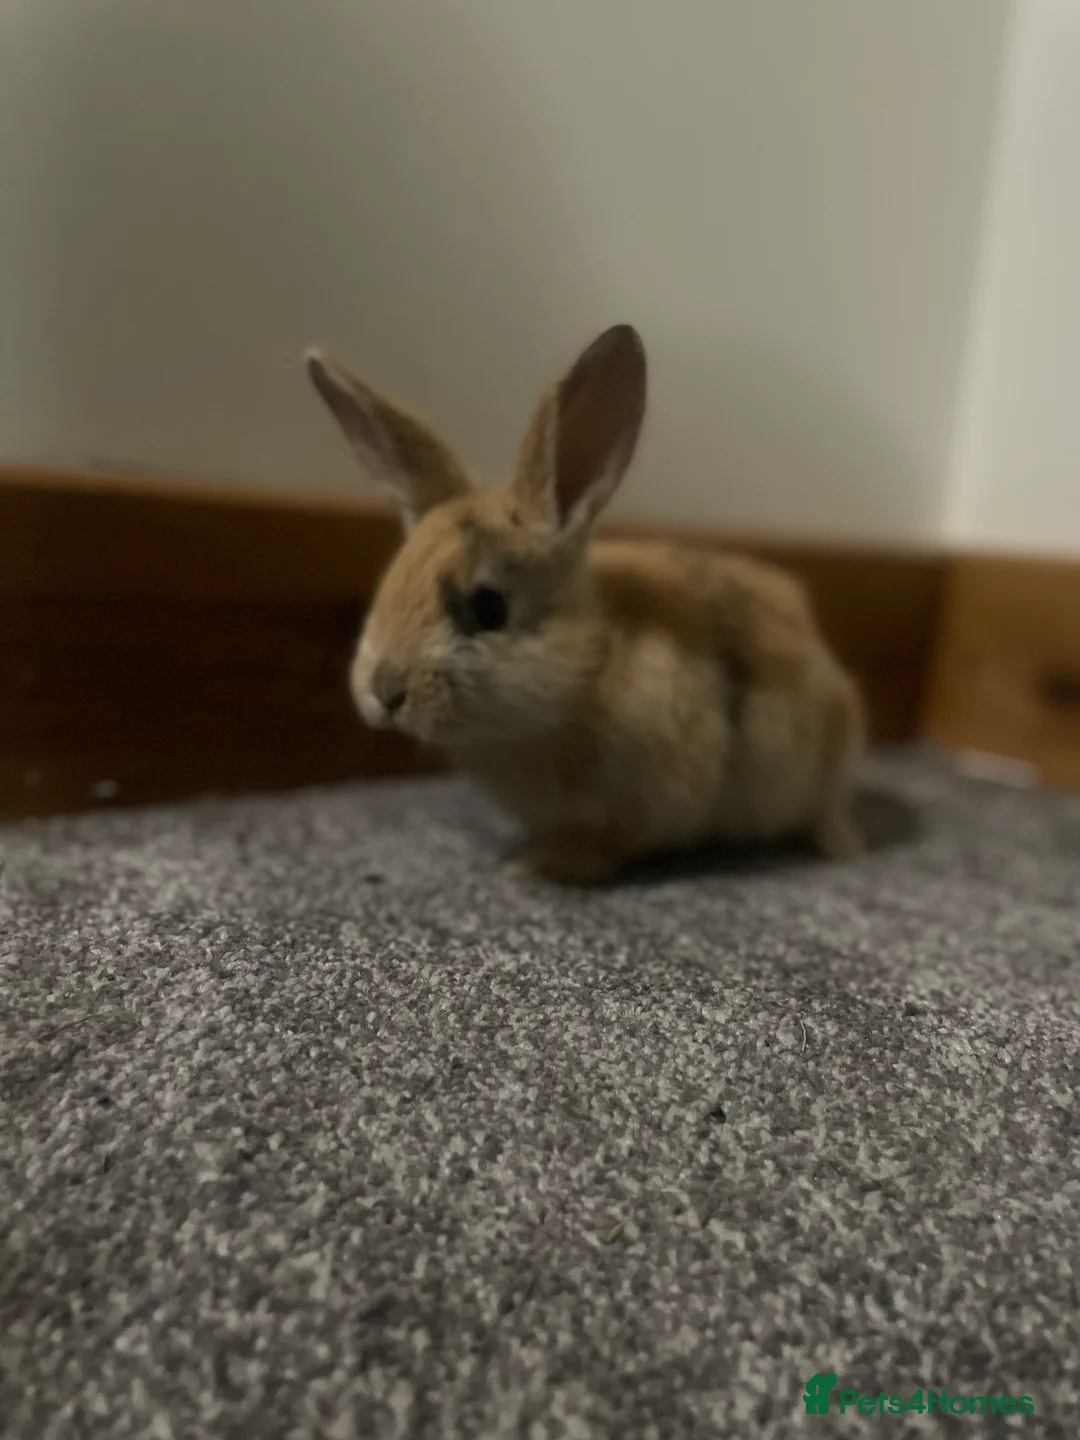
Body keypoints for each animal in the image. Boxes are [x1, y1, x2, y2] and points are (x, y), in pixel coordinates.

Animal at [304, 324, 865, 885]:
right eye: (388, 590)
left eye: (488, 608)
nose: (385, 693)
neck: (586, 671)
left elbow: (603, 845)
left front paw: (534, 866)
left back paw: (840, 847)